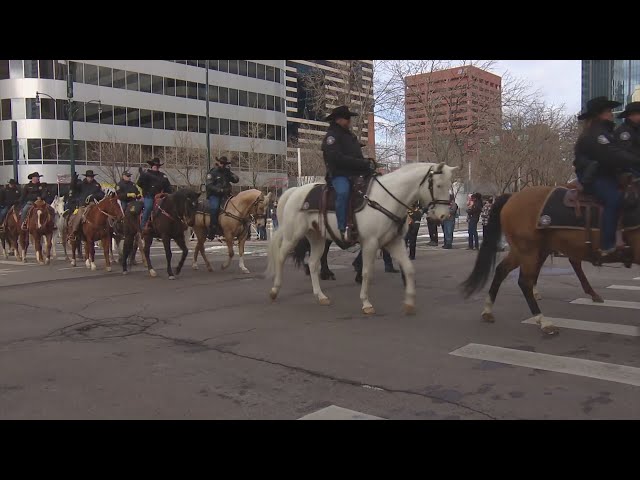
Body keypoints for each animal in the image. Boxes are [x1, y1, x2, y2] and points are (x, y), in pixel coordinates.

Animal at [264, 162, 456, 316]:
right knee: (281, 257)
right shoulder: (370, 243)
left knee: (312, 263)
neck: (386, 200)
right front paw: (366, 303)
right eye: (438, 185)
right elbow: (366, 272)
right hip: (293, 235)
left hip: (318, 238)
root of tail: (294, 191)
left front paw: (409, 303)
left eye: (450, 186)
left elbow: (408, 269)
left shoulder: (394, 242)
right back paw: (274, 290)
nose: (444, 216)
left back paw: (321, 296)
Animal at [460, 186, 636, 336]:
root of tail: (513, 196)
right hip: (529, 250)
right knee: (524, 281)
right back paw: (543, 321)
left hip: (526, 250)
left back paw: (488, 310)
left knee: (504, 270)